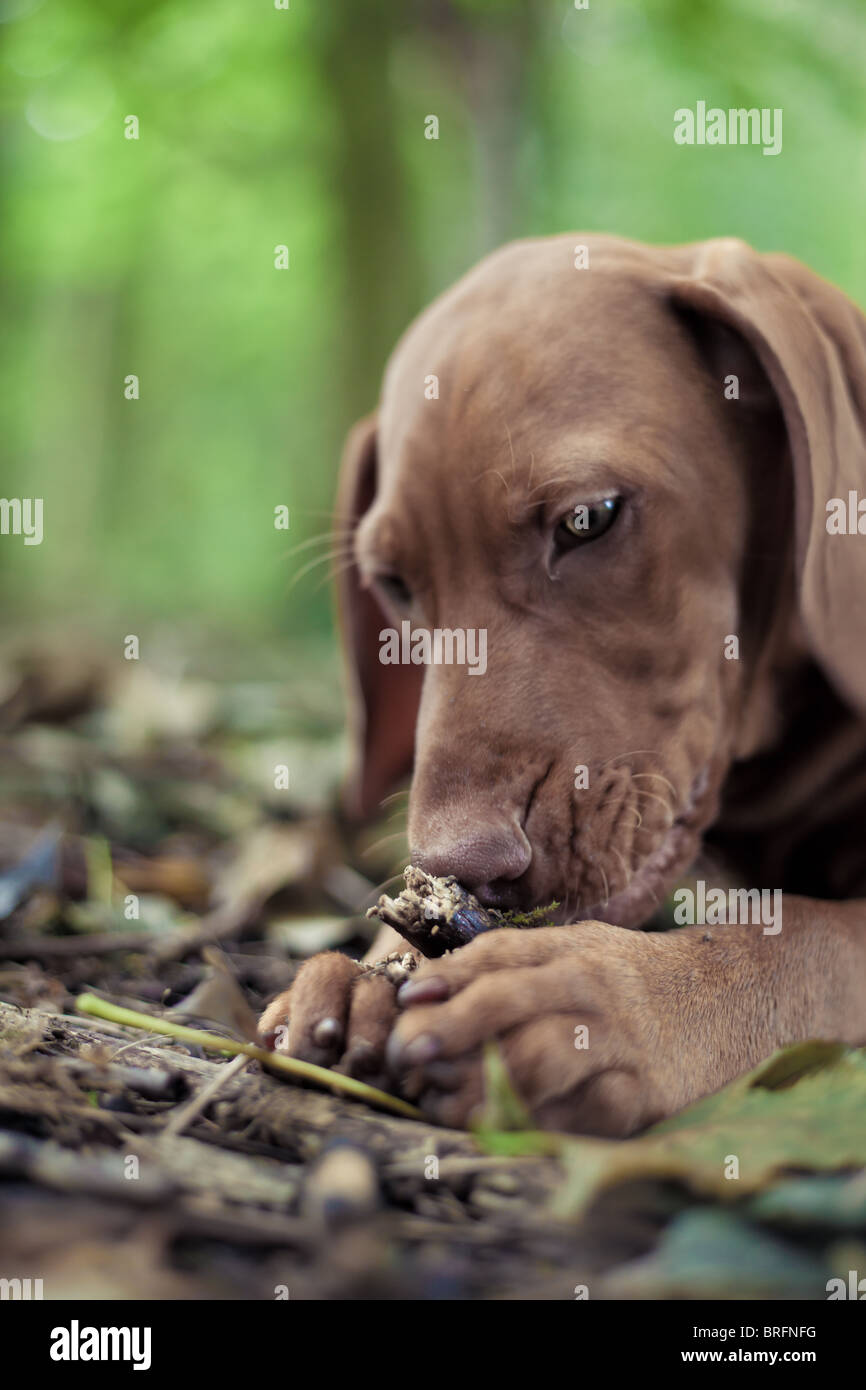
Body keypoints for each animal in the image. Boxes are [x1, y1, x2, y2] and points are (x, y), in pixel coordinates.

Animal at [261, 233, 866, 1134]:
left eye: (590, 518)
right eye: (394, 584)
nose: (465, 863)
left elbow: (810, 937)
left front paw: (606, 999)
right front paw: (371, 968)